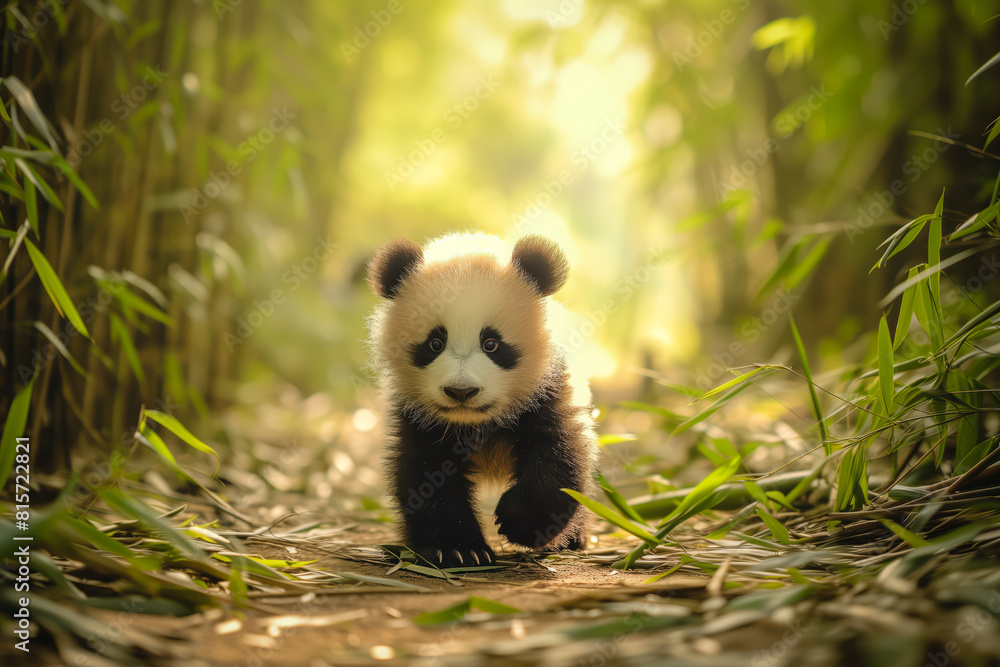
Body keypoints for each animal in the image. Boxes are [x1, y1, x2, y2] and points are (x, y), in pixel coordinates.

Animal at [366, 232, 597, 568]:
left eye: (492, 344)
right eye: (435, 343)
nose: (461, 392)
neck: (476, 423)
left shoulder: (547, 391)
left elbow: (560, 454)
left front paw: (517, 522)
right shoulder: (419, 415)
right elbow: (425, 473)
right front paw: (457, 549)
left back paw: (573, 538)